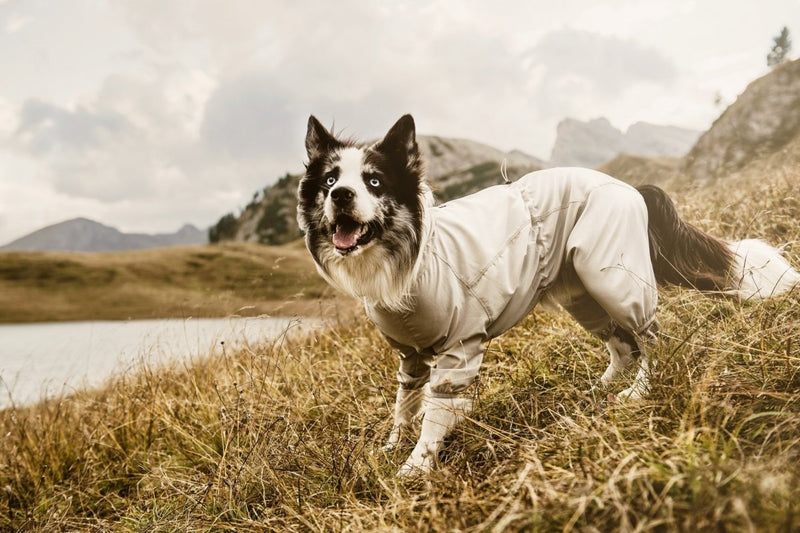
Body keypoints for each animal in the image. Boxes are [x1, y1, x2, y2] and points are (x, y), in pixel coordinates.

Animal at [296, 114, 800, 476]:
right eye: (329, 181)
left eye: (374, 181)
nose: (341, 196)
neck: (410, 255)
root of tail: (630, 187)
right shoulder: (410, 356)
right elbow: (405, 407)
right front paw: (389, 449)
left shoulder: (459, 352)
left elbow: (433, 416)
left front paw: (412, 471)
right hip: (583, 291)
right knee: (622, 344)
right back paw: (599, 388)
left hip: (612, 278)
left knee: (653, 337)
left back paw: (637, 392)